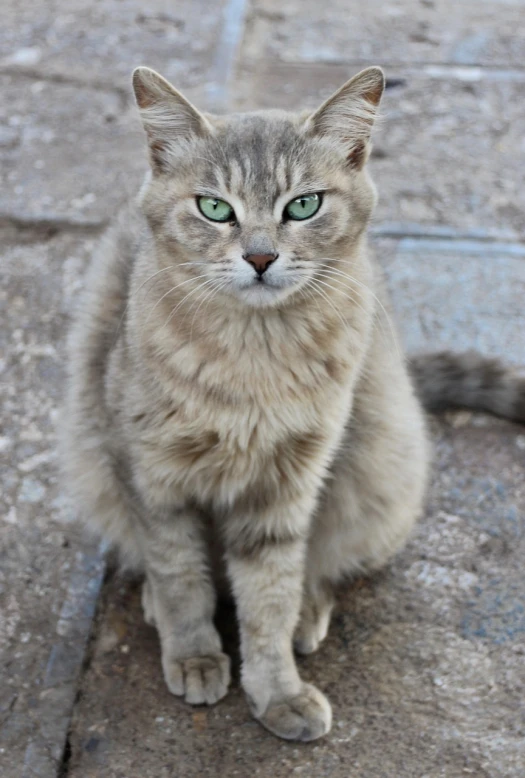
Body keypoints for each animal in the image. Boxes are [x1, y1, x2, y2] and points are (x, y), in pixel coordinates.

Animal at [58, 65, 524, 740]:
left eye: (303, 205)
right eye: (215, 208)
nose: (259, 256)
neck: (254, 359)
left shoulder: (285, 488)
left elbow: (270, 597)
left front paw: (277, 688)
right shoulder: (149, 474)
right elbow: (180, 575)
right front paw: (194, 653)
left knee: (321, 568)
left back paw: (307, 613)